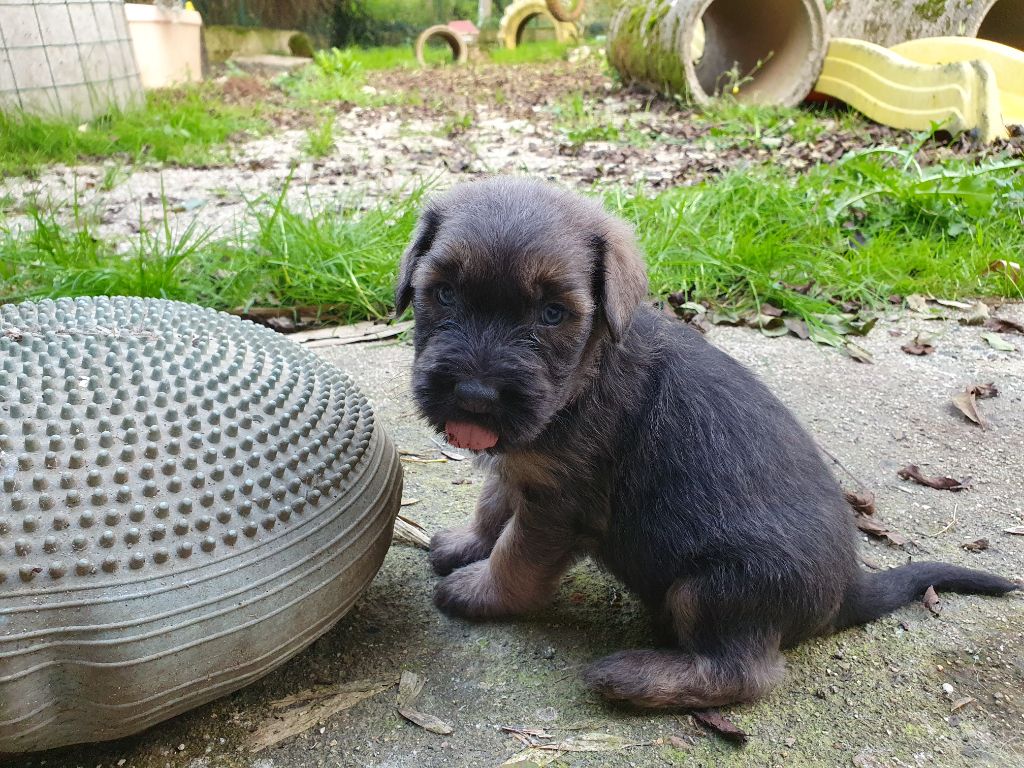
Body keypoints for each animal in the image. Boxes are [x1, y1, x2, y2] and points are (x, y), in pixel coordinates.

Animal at [393, 177, 1015, 712]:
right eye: (443, 293)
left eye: (551, 314)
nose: (474, 395)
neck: (585, 376)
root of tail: (848, 592)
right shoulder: (524, 469)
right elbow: (492, 508)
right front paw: (466, 545)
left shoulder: (557, 509)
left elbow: (515, 556)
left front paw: (482, 592)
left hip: (712, 587)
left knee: (743, 674)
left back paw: (634, 677)